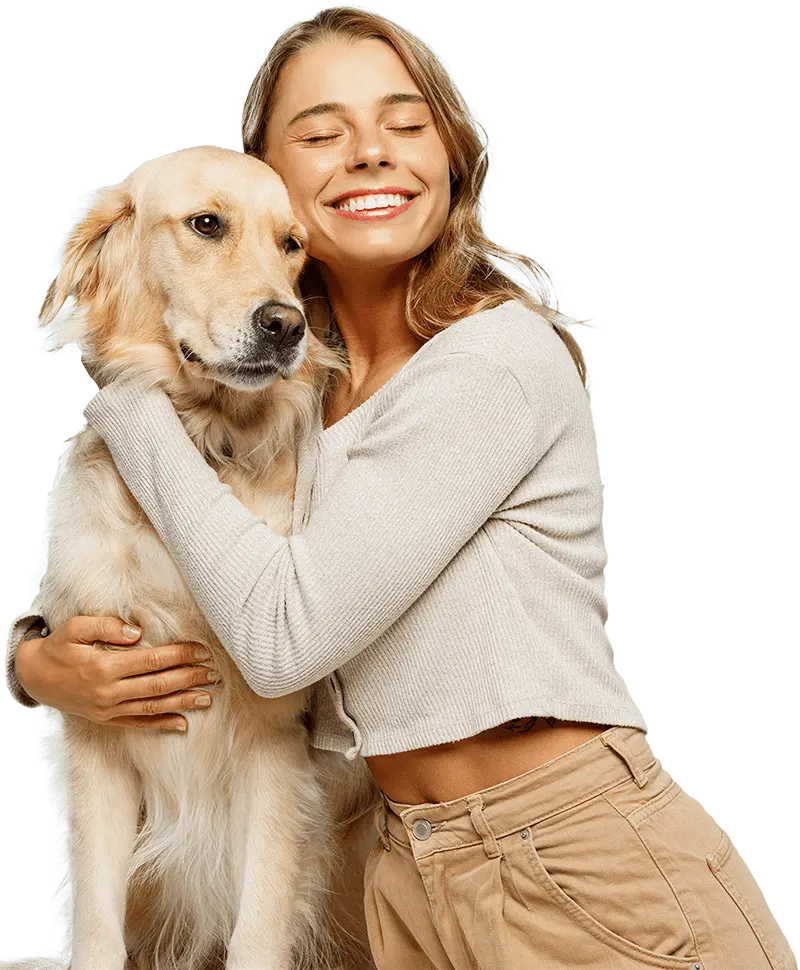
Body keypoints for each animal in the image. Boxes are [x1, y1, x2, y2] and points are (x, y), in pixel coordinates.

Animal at [18, 144, 382, 968]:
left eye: (293, 244)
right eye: (206, 224)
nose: (286, 324)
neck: (205, 447)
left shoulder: (274, 751)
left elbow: (259, 929)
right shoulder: (98, 735)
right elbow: (97, 931)